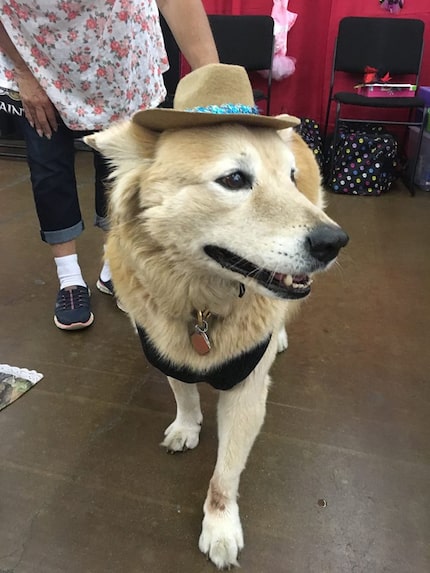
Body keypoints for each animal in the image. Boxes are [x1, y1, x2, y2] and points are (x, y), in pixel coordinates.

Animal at [85, 63, 350, 568]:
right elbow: (184, 394)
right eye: (234, 180)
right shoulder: (167, 352)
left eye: (289, 179)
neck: (202, 301)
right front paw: (187, 427)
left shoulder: (247, 391)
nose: (335, 242)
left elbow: (224, 476)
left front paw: (220, 528)